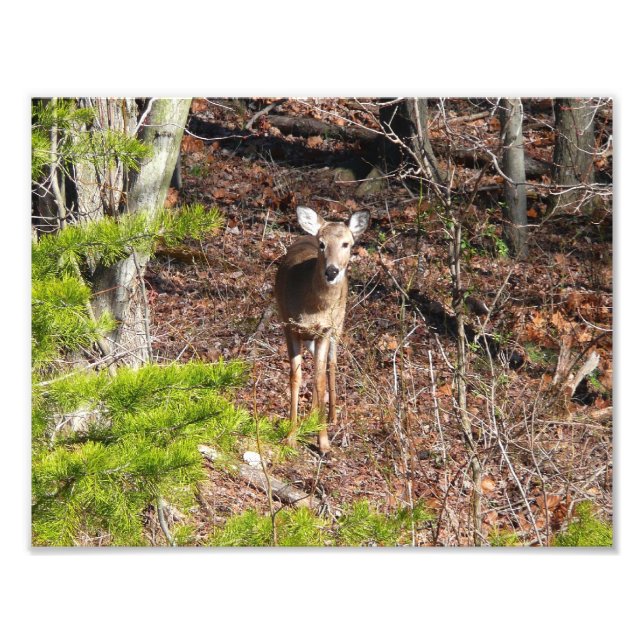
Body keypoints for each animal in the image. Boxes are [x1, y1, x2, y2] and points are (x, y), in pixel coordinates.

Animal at [275, 206, 370, 454]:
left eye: (347, 244)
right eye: (322, 244)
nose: (332, 271)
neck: (313, 308)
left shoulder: (325, 330)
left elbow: (318, 380)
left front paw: (324, 443)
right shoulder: (289, 325)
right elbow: (296, 377)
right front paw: (290, 436)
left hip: (339, 324)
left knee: (331, 364)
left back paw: (331, 416)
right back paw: (311, 417)